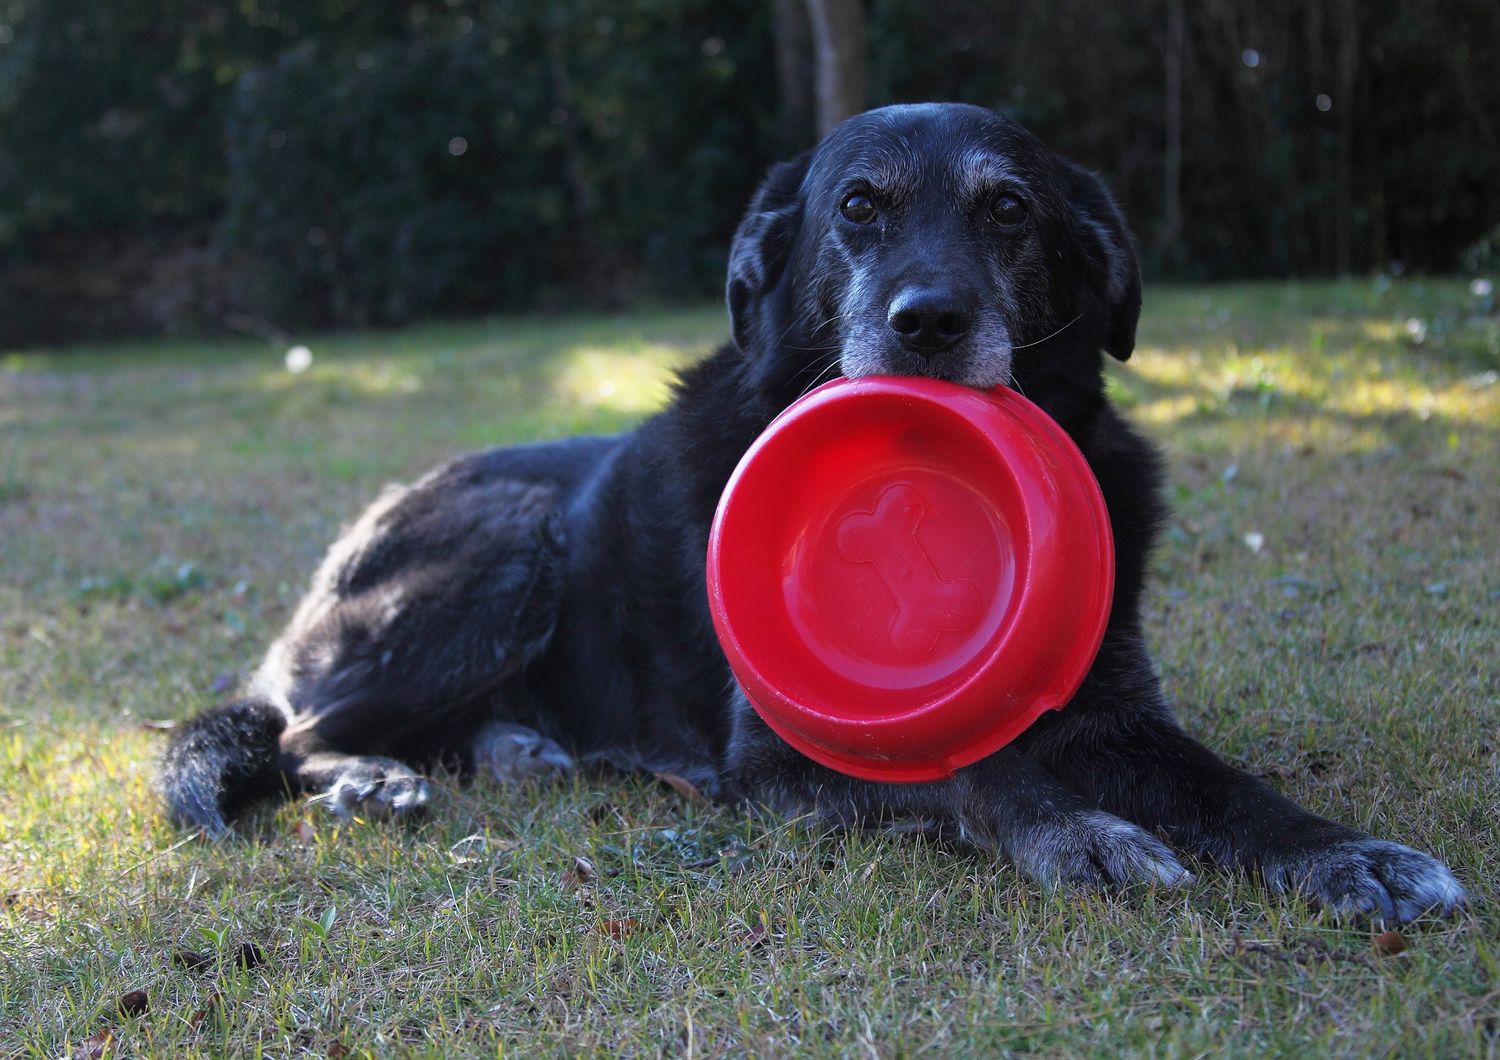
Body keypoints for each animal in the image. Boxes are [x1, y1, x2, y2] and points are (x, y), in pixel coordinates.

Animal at [164, 103, 1464, 923]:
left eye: (1008, 210)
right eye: (857, 206)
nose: (930, 322)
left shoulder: (1119, 715)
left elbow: (1229, 789)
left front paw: (1350, 853)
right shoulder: (783, 760)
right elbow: (980, 771)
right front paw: (1078, 829)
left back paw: (514, 749)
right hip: (509, 549)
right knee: (296, 732)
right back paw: (379, 777)